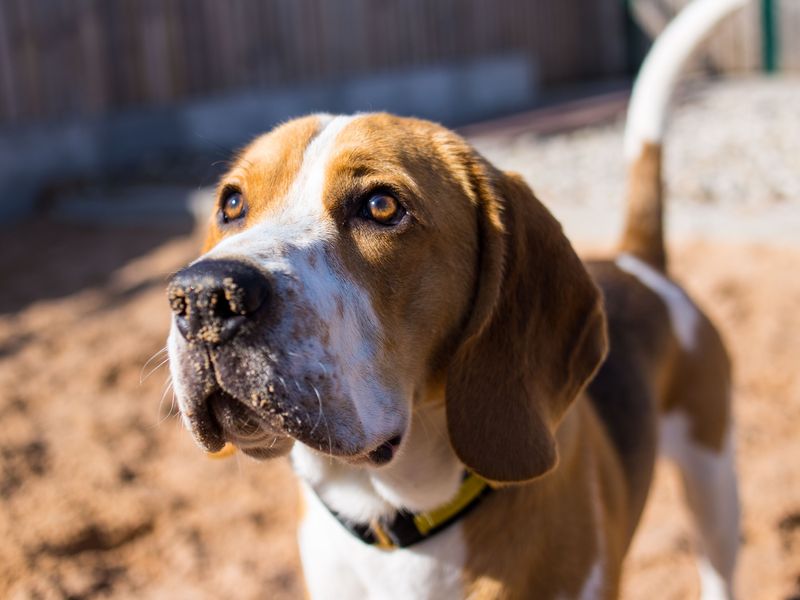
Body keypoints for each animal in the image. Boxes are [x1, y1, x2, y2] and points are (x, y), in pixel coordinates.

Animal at [167, 0, 744, 596]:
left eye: (380, 205)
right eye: (232, 204)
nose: (205, 297)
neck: (398, 519)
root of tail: (636, 260)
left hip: (714, 482)